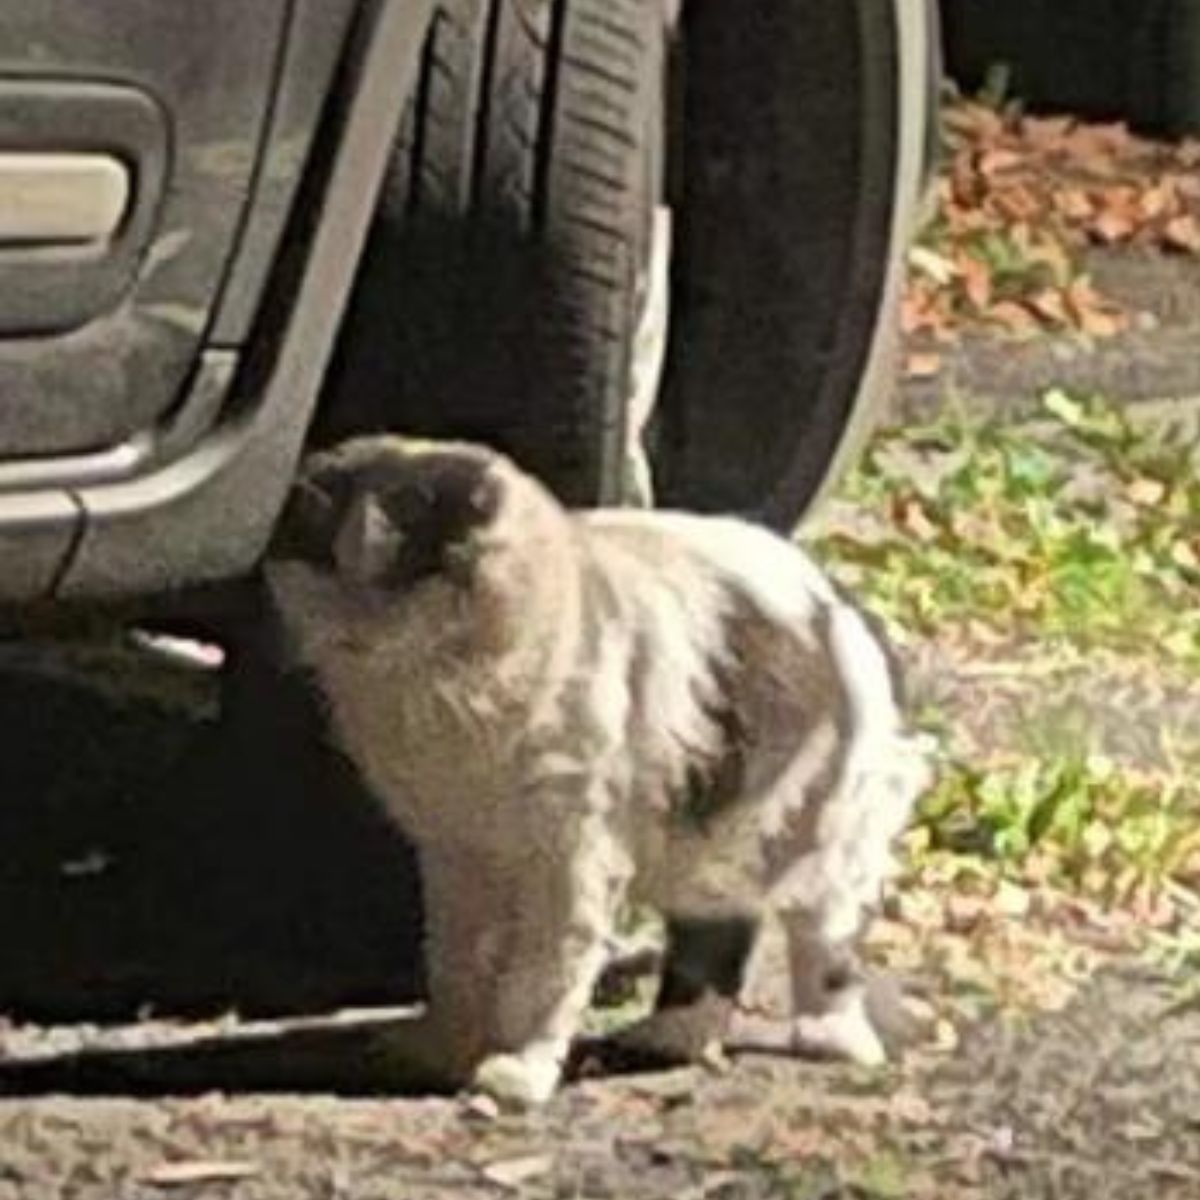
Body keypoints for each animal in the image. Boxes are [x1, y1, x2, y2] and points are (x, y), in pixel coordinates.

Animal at [267, 436, 931, 1099]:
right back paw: (669, 1036)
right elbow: (456, 962)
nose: (300, 489)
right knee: (719, 938)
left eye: (399, 512)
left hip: (822, 838)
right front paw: (442, 1049)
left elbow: (542, 976)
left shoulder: (568, 855)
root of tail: (841, 601)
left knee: (824, 945)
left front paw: (518, 1070)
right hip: (711, 844)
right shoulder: (457, 851)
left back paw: (832, 1040)